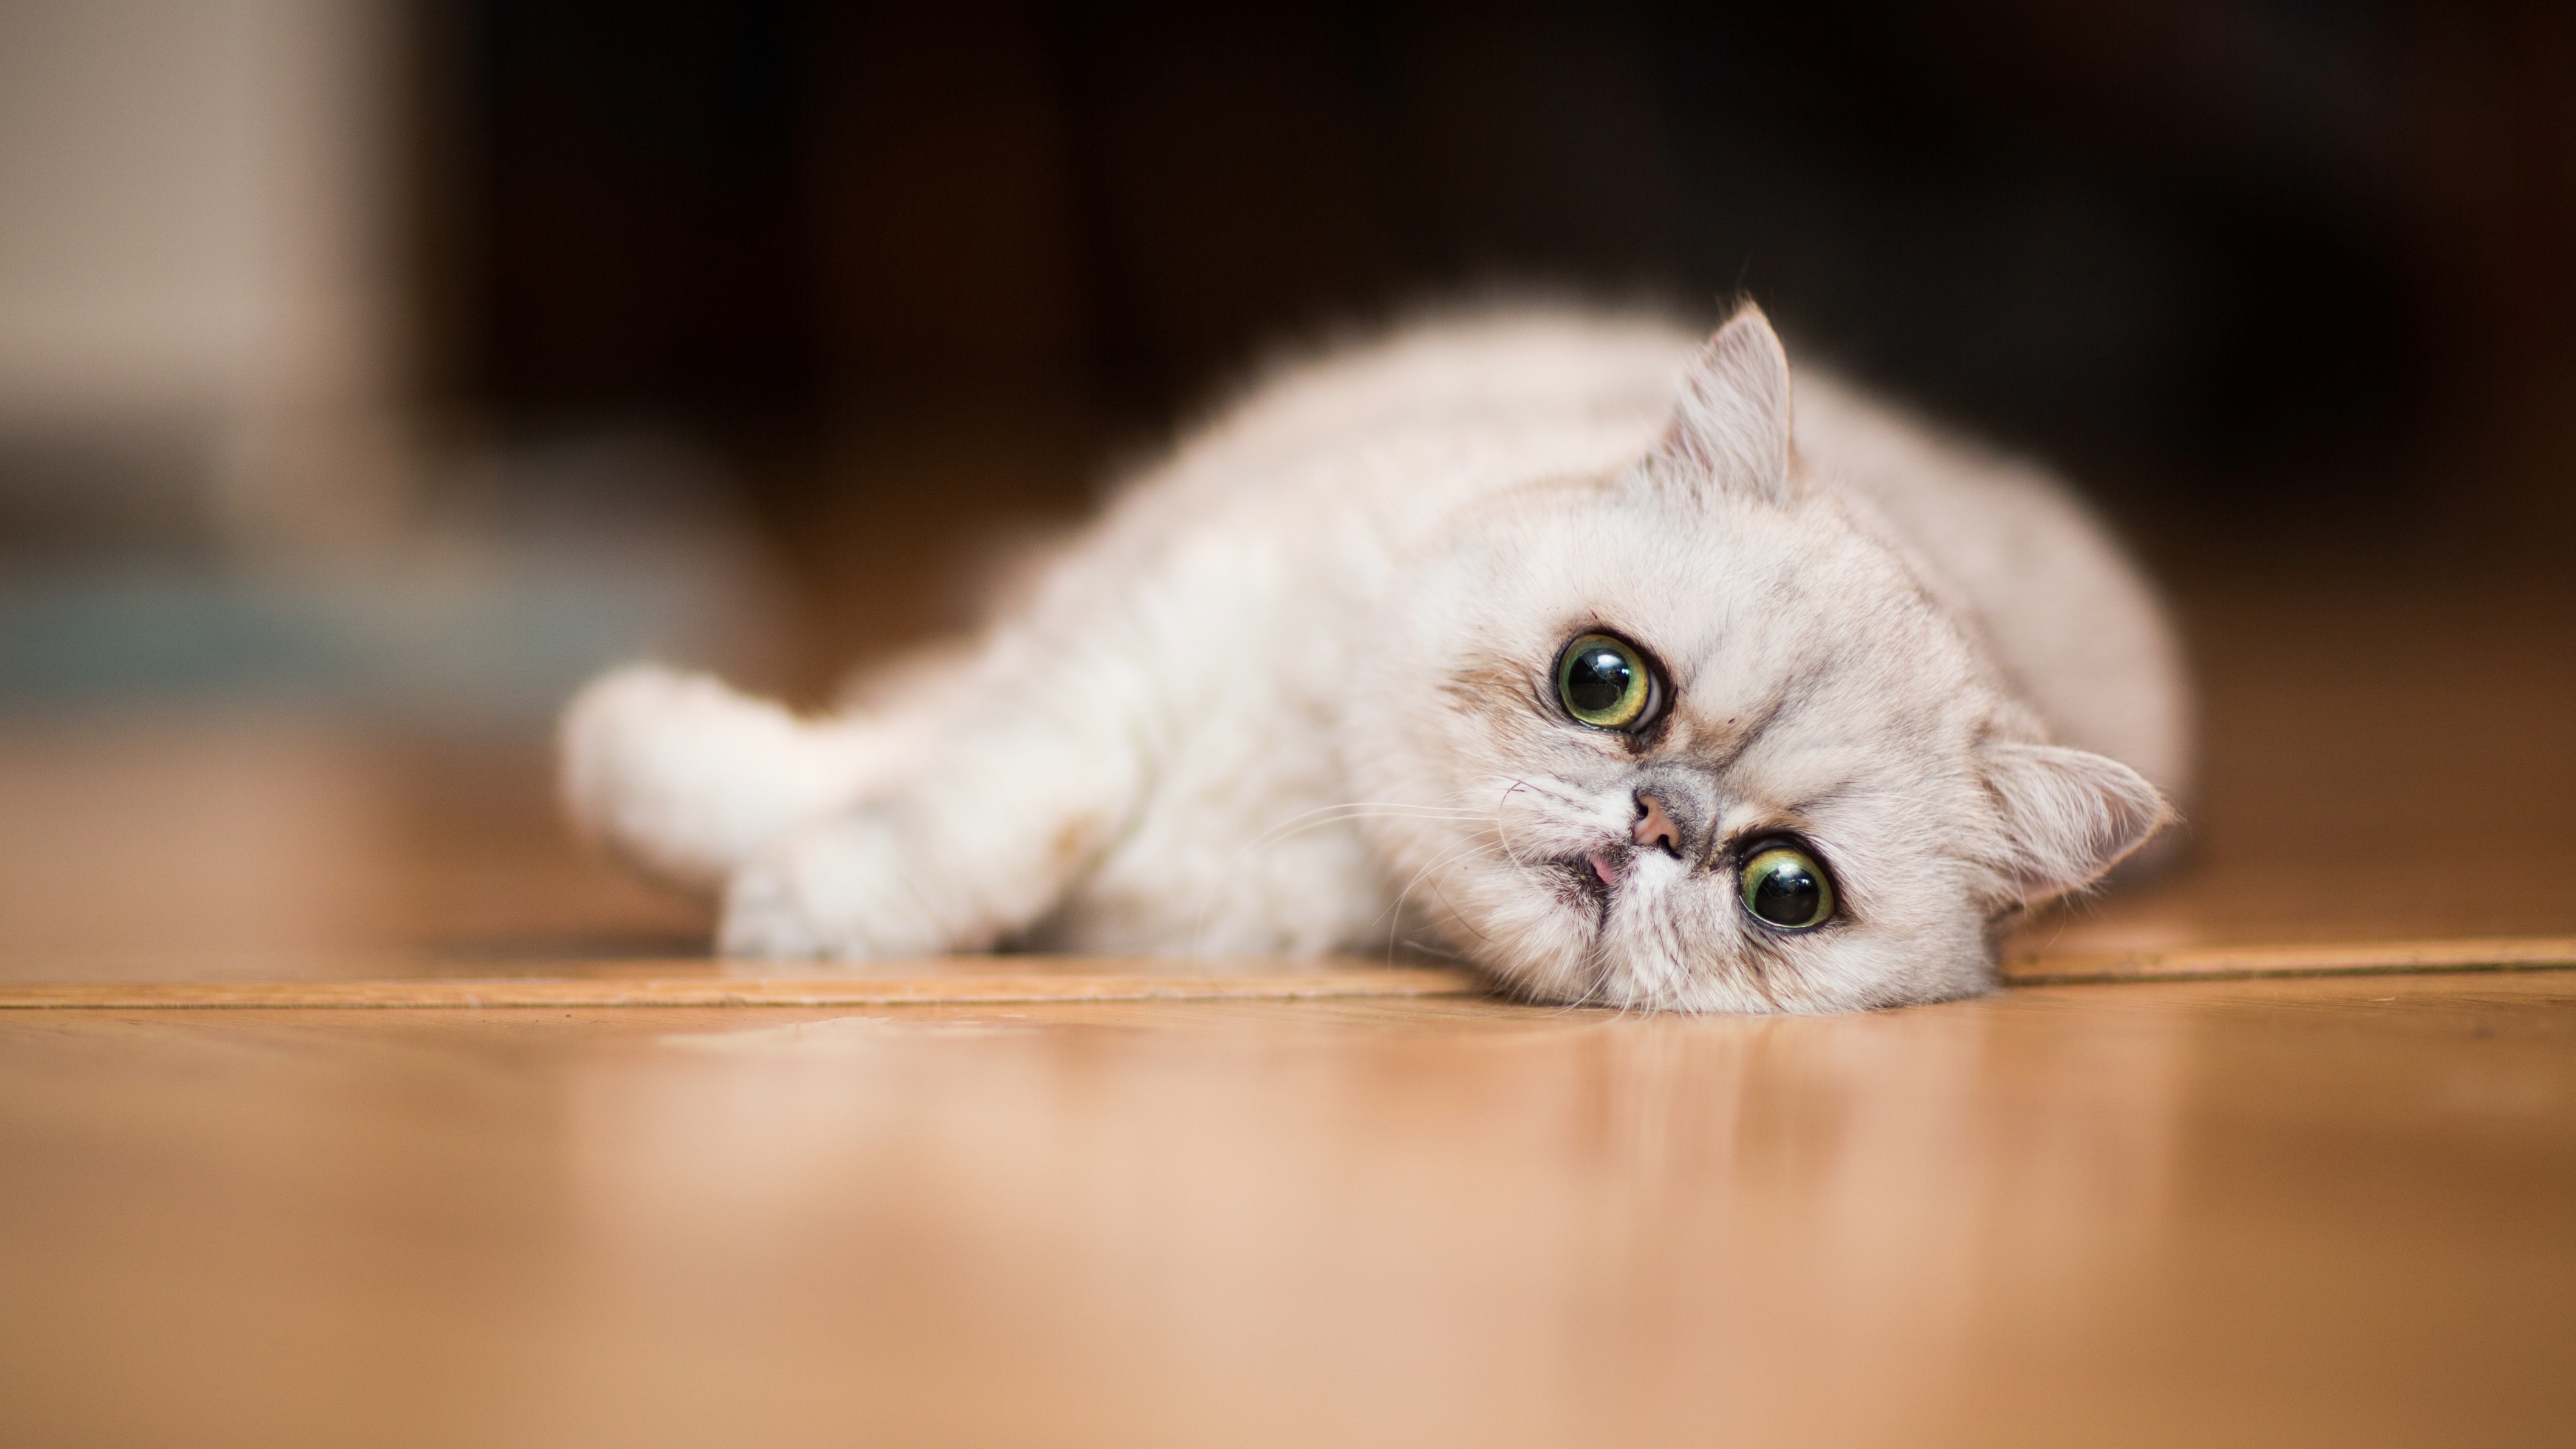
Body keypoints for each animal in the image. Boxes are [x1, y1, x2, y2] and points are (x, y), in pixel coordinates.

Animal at [554, 300, 2184, 1010]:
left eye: (1787, 891)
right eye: (1605, 682)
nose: (1658, 822)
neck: (1314, 794)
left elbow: (954, 807)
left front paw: (789, 897)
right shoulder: (1129, 646)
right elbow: (985, 801)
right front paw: (652, 784)